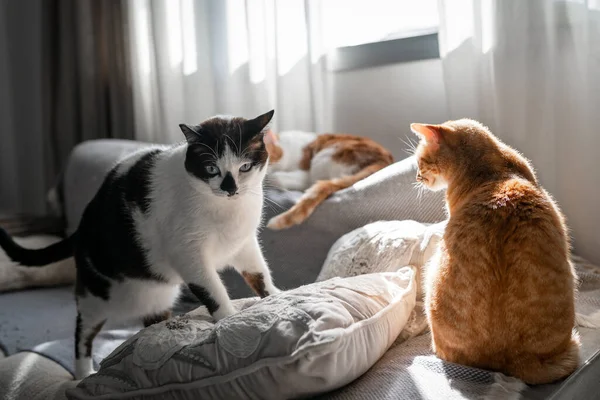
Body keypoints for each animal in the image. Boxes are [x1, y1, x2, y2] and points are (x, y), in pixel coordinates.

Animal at [0, 109, 282, 378]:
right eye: (211, 168)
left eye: (245, 166)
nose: (230, 188)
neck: (228, 210)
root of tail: (81, 227)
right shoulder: (188, 252)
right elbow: (213, 291)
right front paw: (229, 320)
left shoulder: (244, 244)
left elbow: (259, 274)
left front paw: (277, 296)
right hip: (96, 294)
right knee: (83, 331)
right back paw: (82, 374)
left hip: (158, 298)